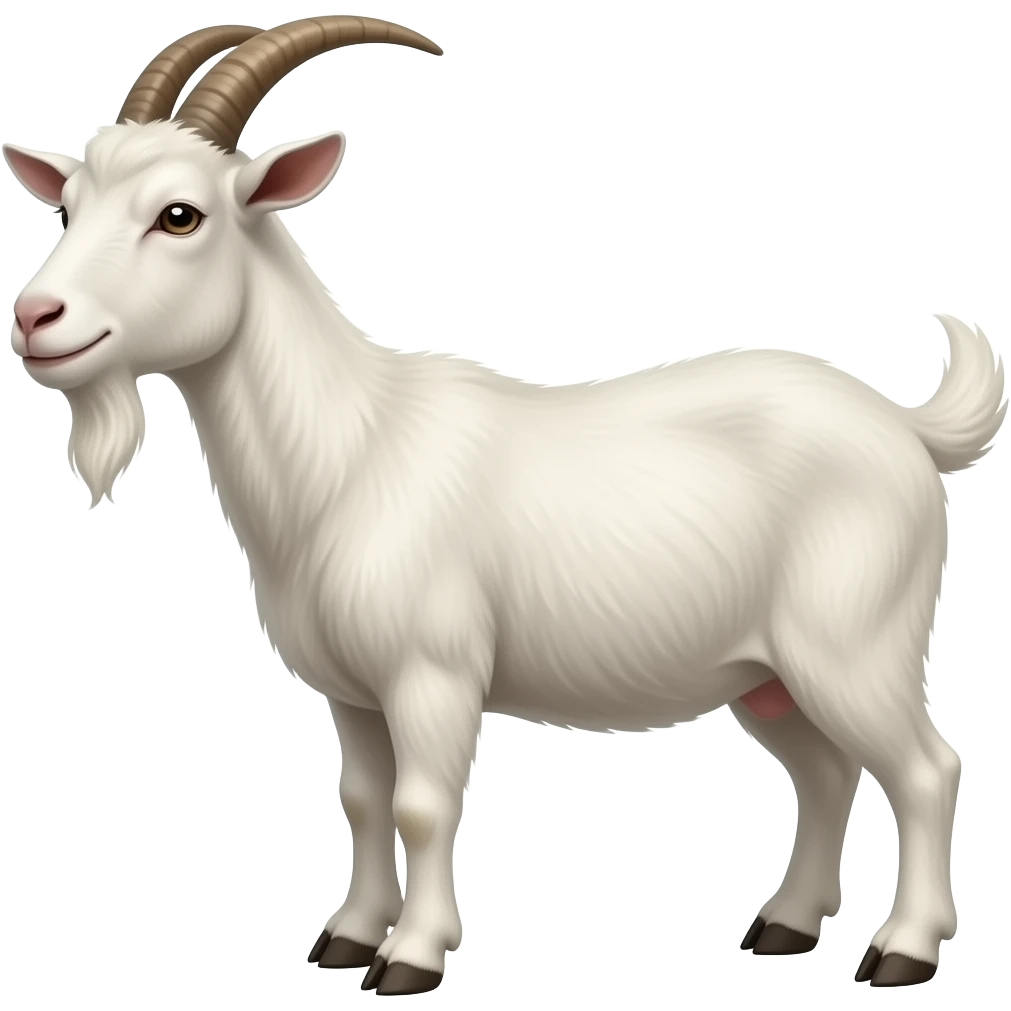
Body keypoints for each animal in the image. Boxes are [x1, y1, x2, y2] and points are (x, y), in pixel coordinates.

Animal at [4, 18, 1004, 995]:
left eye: (180, 215)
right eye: (68, 206)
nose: (36, 316)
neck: (349, 449)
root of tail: (907, 430)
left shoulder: (431, 672)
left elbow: (420, 804)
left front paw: (409, 957)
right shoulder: (352, 691)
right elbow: (361, 800)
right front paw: (348, 938)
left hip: (854, 643)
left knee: (924, 769)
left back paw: (903, 950)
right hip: (768, 673)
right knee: (826, 772)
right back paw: (787, 925)